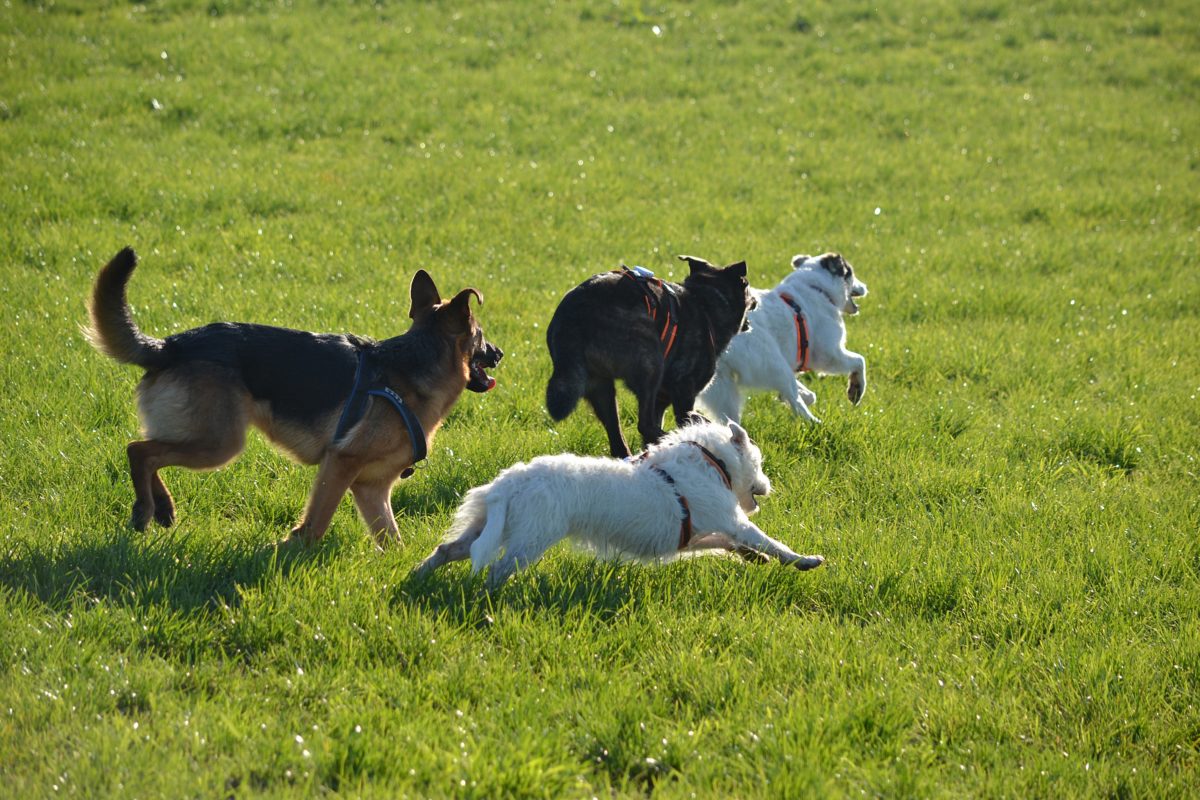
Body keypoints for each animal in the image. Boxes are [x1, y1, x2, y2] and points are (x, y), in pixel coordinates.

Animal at [415, 422, 825, 592]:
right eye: (759, 461)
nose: (768, 486)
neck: (711, 461)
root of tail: (508, 483)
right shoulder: (731, 519)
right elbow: (763, 538)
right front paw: (803, 560)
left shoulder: (692, 535)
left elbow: (722, 544)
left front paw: (753, 558)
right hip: (529, 539)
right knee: (496, 570)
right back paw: (490, 596)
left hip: (487, 527)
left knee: (448, 549)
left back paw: (417, 576)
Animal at [549, 256, 753, 455]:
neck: (705, 300)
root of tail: (576, 315)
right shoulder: (684, 390)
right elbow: (681, 420)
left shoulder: (661, 400)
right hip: (650, 360)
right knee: (644, 425)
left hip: (601, 387)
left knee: (618, 438)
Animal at [696, 253, 873, 424]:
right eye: (851, 273)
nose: (866, 286)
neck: (818, 289)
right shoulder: (829, 355)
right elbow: (860, 361)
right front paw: (856, 389)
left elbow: (808, 393)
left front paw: (798, 395)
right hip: (773, 362)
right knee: (796, 402)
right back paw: (815, 422)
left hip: (721, 386)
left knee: (730, 419)